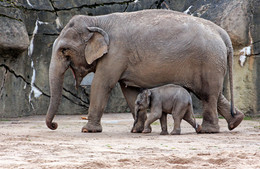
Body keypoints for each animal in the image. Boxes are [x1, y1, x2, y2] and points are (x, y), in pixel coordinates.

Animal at [46, 9, 244, 133]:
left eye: (64, 50)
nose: (55, 125)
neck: (97, 20)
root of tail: (221, 32)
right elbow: (129, 91)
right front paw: (137, 130)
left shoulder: (115, 54)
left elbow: (102, 84)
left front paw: (88, 130)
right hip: (212, 63)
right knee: (212, 93)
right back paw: (235, 122)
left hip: (209, 61)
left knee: (208, 94)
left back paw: (210, 131)